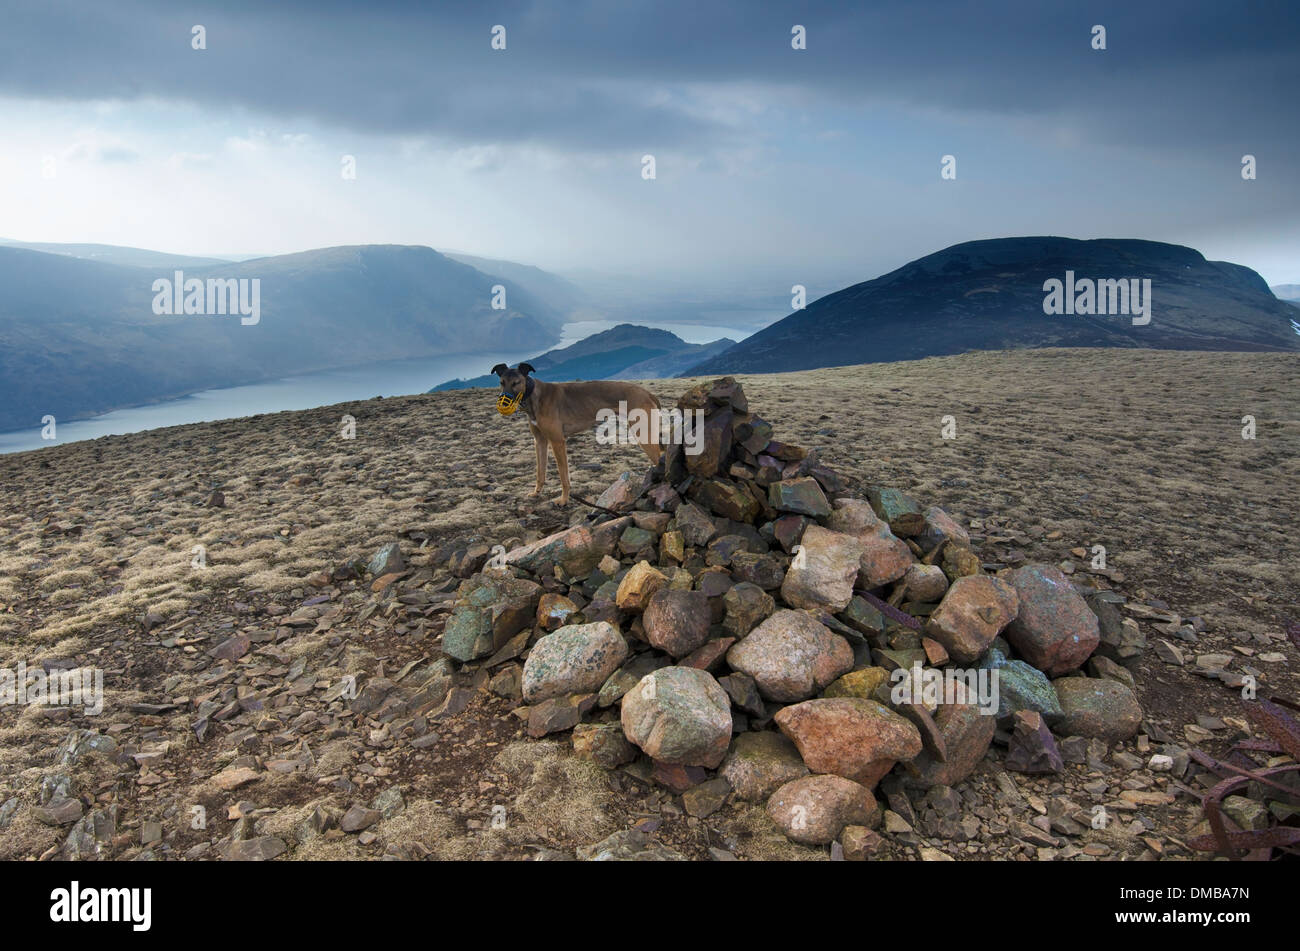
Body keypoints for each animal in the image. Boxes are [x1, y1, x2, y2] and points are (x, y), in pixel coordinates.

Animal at [493, 361, 665, 504]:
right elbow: (540, 472)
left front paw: (563, 500)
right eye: (501, 383)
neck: (534, 395)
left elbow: (563, 476)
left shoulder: (557, 441)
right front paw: (536, 493)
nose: (504, 401)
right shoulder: (540, 441)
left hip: (644, 435)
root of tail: (647, 393)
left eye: (516, 383)